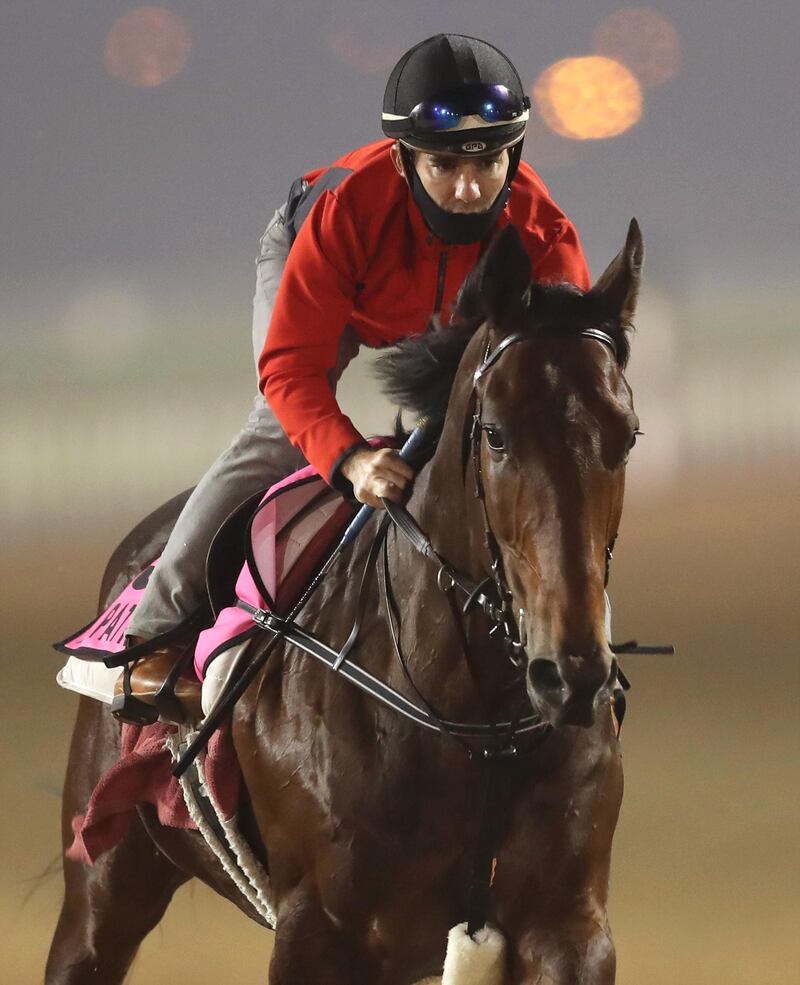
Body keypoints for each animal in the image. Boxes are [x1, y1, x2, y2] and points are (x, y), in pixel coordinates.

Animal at [47, 223, 644, 984]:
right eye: (497, 434)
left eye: (626, 435)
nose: (571, 674)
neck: (473, 723)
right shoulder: (321, 932)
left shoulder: (565, 924)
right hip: (105, 883)